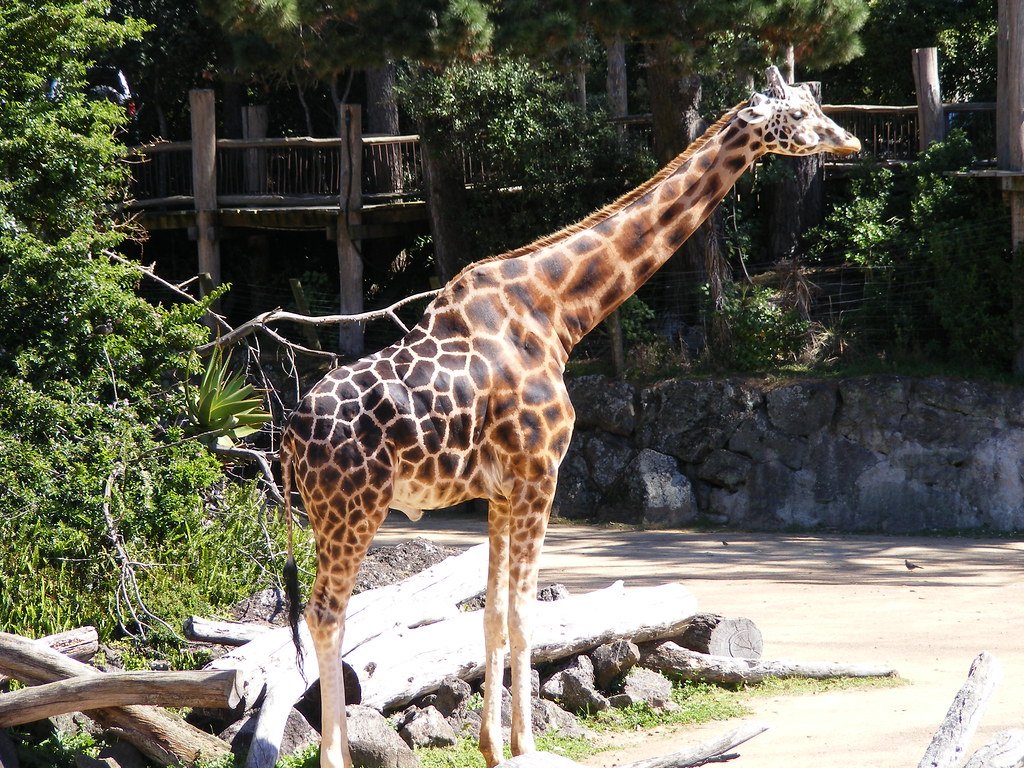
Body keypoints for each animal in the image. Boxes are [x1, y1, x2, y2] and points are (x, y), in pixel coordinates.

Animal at [281, 66, 860, 768]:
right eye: (800, 115)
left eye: (815, 104)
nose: (851, 142)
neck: (556, 312)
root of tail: (288, 435)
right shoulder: (541, 473)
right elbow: (527, 615)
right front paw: (527, 747)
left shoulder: (501, 490)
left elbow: (492, 616)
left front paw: (494, 747)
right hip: (353, 510)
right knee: (326, 613)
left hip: (327, 515)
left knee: (327, 614)